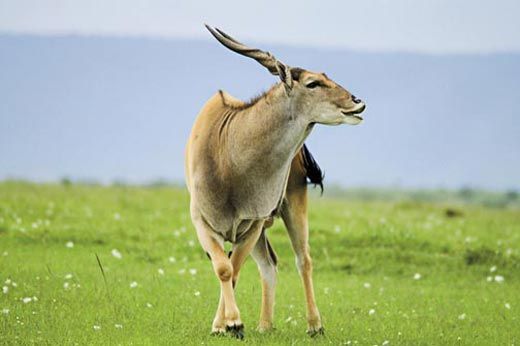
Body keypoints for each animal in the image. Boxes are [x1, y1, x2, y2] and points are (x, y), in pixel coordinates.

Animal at [185, 25, 368, 340]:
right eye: (313, 83)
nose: (357, 102)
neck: (228, 155)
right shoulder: (203, 223)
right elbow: (224, 268)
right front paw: (225, 325)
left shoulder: (252, 225)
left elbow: (232, 269)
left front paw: (231, 324)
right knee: (268, 264)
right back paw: (264, 325)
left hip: (293, 206)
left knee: (303, 260)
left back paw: (314, 325)